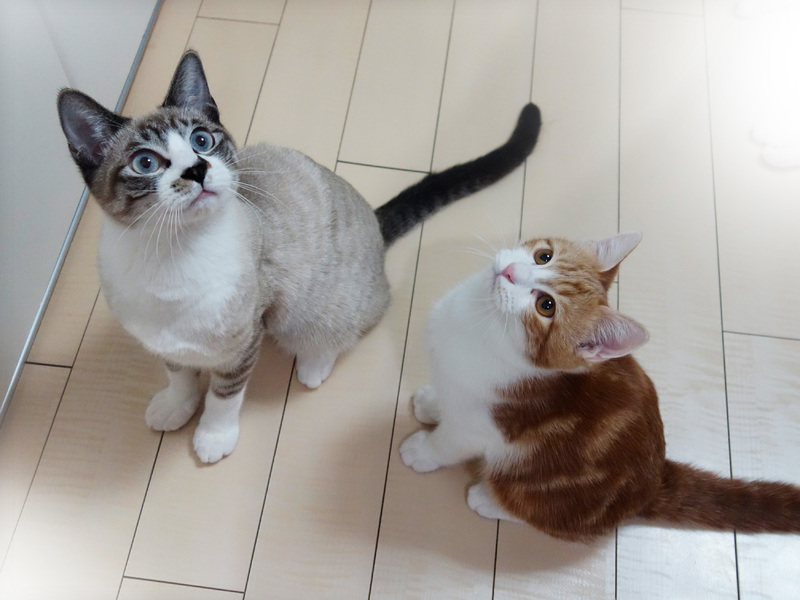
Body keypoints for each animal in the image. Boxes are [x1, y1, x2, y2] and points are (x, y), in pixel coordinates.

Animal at [56, 50, 542, 463]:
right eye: (146, 163)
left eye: (202, 140)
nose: (197, 169)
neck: (172, 255)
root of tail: (373, 220)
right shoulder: (162, 342)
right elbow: (179, 375)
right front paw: (175, 408)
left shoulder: (245, 339)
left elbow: (223, 396)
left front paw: (212, 437)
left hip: (307, 311)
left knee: (347, 325)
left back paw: (313, 365)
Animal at [400, 232, 800, 539]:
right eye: (543, 255)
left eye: (546, 306)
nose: (510, 271)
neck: (480, 326)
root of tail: (654, 483)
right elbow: (446, 395)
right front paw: (431, 402)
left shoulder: (482, 425)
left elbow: (449, 443)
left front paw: (423, 451)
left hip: (547, 490)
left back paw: (488, 499)